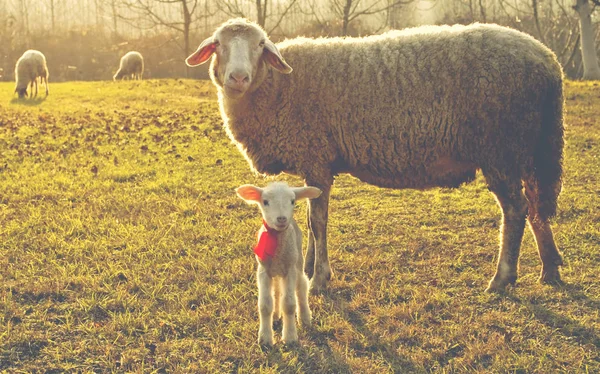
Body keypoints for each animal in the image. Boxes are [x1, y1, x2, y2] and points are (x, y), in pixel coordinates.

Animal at [189, 19, 568, 296]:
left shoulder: (317, 156)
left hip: (500, 148)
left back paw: (503, 279)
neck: (277, 88)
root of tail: (548, 59)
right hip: (528, 147)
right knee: (535, 205)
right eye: (218, 44)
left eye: (259, 45)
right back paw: (550, 268)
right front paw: (309, 268)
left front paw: (319, 278)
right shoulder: (315, 162)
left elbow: (317, 221)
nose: (238, 77)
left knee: (516, 210)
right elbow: (310, 219)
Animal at [236, 183, 324, 346]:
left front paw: (290, 337)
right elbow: (265, 305)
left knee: (301, 289)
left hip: (297, 264)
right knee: (276, 291)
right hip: (276, 273)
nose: (282, 218)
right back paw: (276, 316)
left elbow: (289, 304)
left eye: (292, 201)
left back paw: (305, 319)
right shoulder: (263, 270)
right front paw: (265, 338)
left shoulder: (289, 270)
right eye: (265, 201)